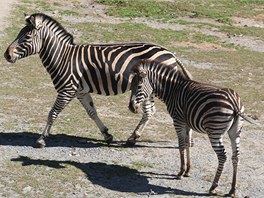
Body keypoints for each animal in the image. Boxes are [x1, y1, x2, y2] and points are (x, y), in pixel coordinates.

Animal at [129, 60, 255, 196]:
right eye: (131, 86)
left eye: (139, 86)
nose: (131, 107)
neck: (173, 90)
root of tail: (234, 102)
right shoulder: (187, 123)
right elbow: (188, 144)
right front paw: (188, 170)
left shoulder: (178, 121)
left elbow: (181, 145)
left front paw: (180, 172)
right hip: (235, 131)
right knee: (236, 156)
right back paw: (232, 189)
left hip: (215, 132)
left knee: (222, 156)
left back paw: (213, 187)